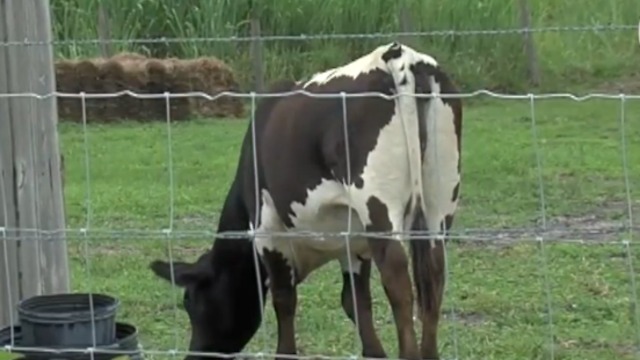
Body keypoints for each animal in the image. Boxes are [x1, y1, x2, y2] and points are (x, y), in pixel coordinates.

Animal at [149, 42, 460, 360]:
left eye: (191, 302)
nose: (194, 355)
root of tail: (398, 54)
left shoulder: (268, 228)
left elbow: (284, 299)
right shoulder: (353, 240)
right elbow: (356, 302)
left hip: (379, 209)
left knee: (399, 282)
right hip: (440, 201)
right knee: (434, 278)